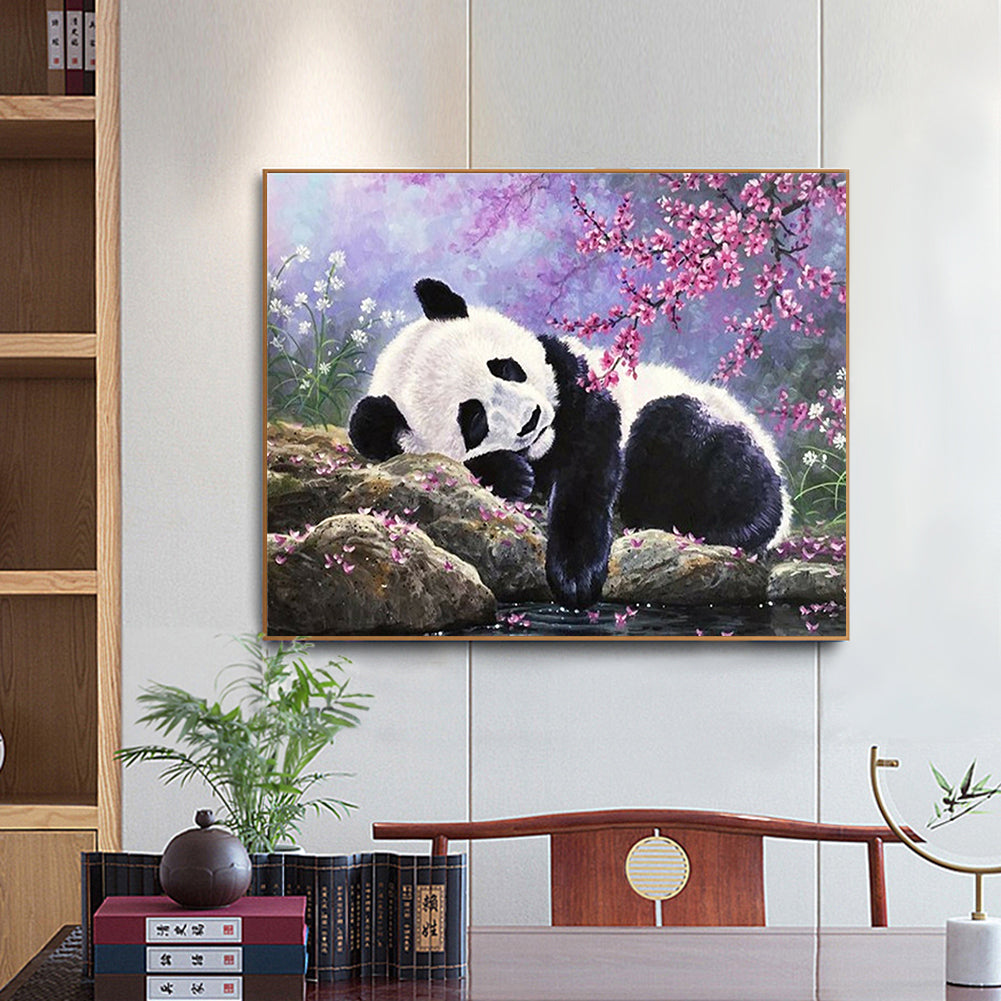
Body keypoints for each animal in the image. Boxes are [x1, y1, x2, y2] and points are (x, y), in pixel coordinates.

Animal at [349, 278, 790, 610]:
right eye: (474, 419)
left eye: (505, 368)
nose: (532, 419)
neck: (548, 444)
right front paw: (512, 475)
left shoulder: (581, 379)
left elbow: (589, 464)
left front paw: (576, 575)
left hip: (703, 422)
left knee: (701, 454)